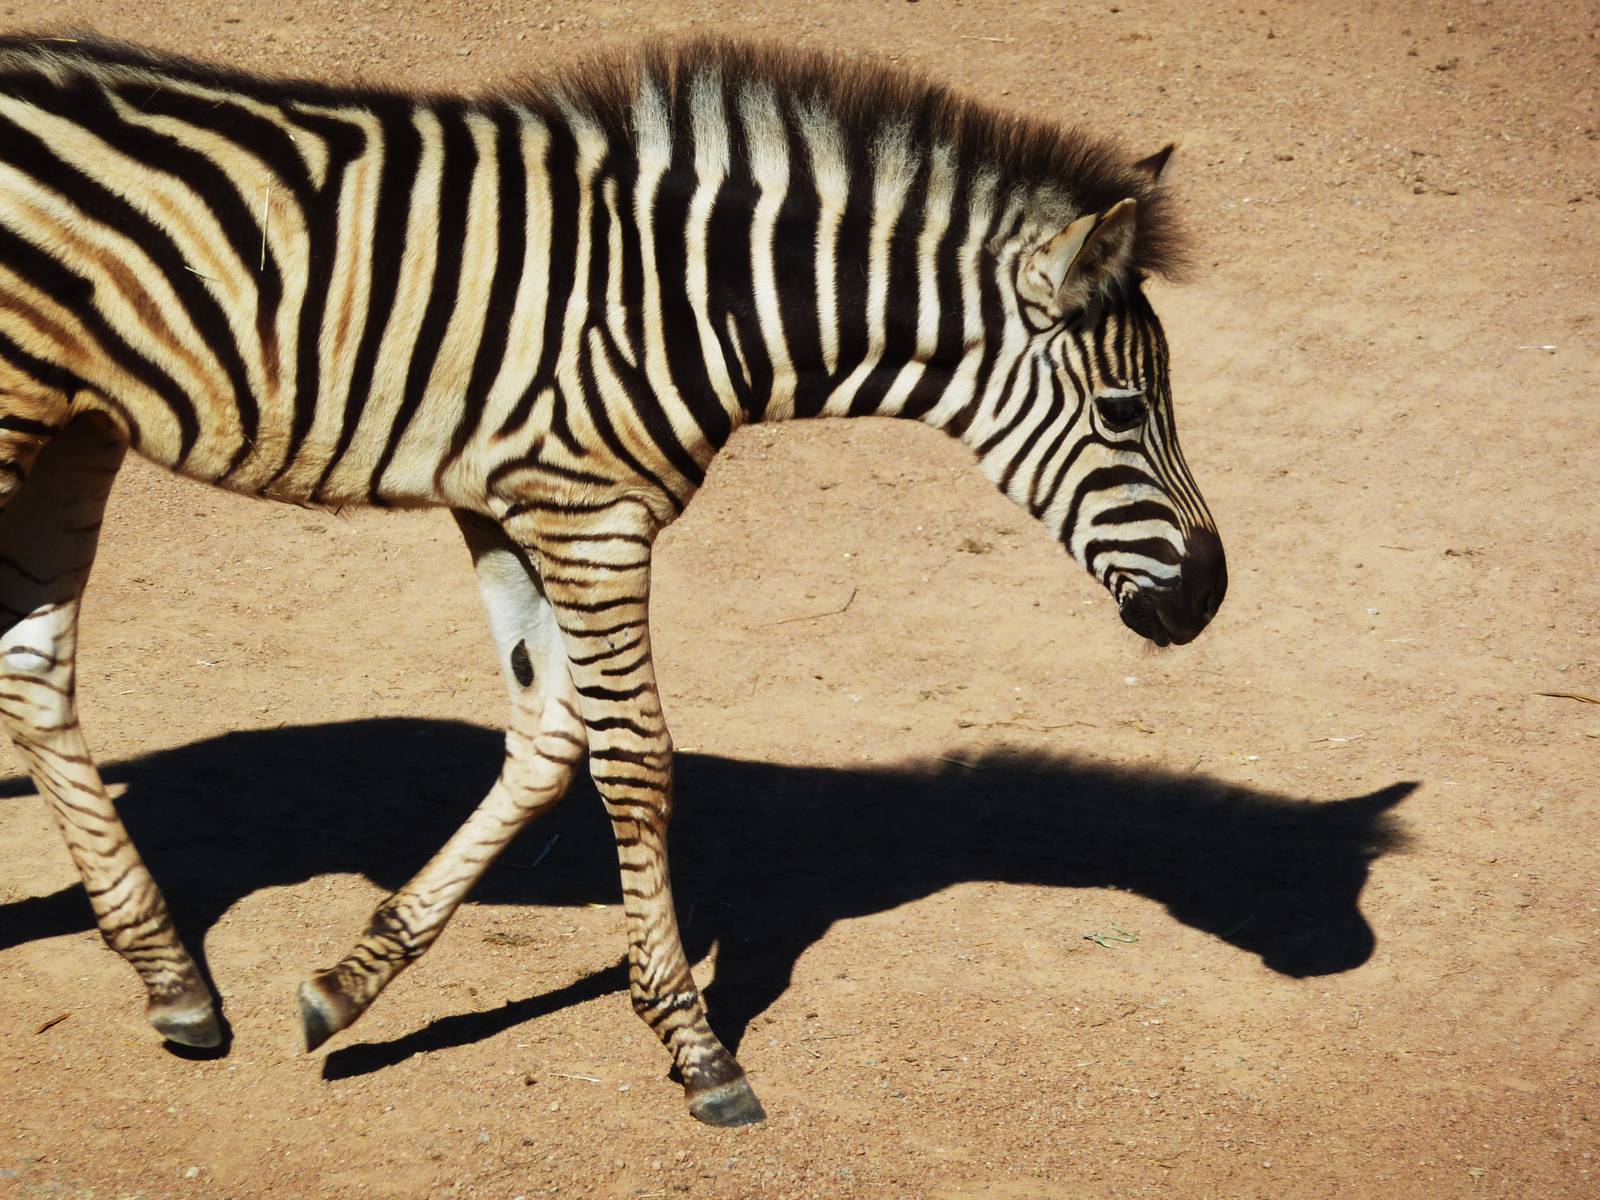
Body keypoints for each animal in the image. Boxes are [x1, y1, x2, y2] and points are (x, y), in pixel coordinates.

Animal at [0, 35, 1226, 1126]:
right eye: (1124, 411)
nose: (1208, 598)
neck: (696, 300)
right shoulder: (590, 513)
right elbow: (634, 757)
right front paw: (695, 1048)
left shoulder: (513, 505)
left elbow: (548, 737)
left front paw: (349, 985)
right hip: (21, 417)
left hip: (75, 429)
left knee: (35, 669)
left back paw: (175, 983)